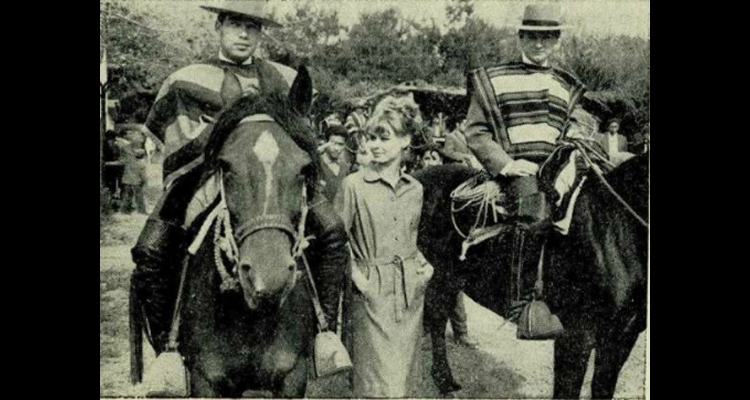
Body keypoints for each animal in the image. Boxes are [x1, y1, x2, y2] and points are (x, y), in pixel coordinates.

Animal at [418, 152, 652, 396]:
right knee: (436, 311)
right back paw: (444, 379)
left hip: (452, 275)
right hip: (445, 272)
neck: (614, 228)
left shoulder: (622, 339)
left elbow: (603, 387)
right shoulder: (576, 337)